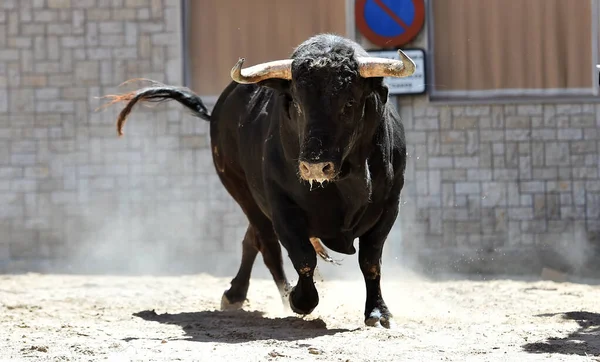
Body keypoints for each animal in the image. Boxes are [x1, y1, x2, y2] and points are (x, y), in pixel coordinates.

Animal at [101, 34, 414, 328]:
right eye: (297, 103)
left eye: (349, 102)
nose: (314, 166)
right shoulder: (281, 205)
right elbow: (303, 257)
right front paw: (300, 299)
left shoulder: (390, 205)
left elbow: (370, 261)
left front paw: (378, 312)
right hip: (243, 193)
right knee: (267, 245)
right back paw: (274, 295)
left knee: (251, 239)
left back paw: (235, 294)